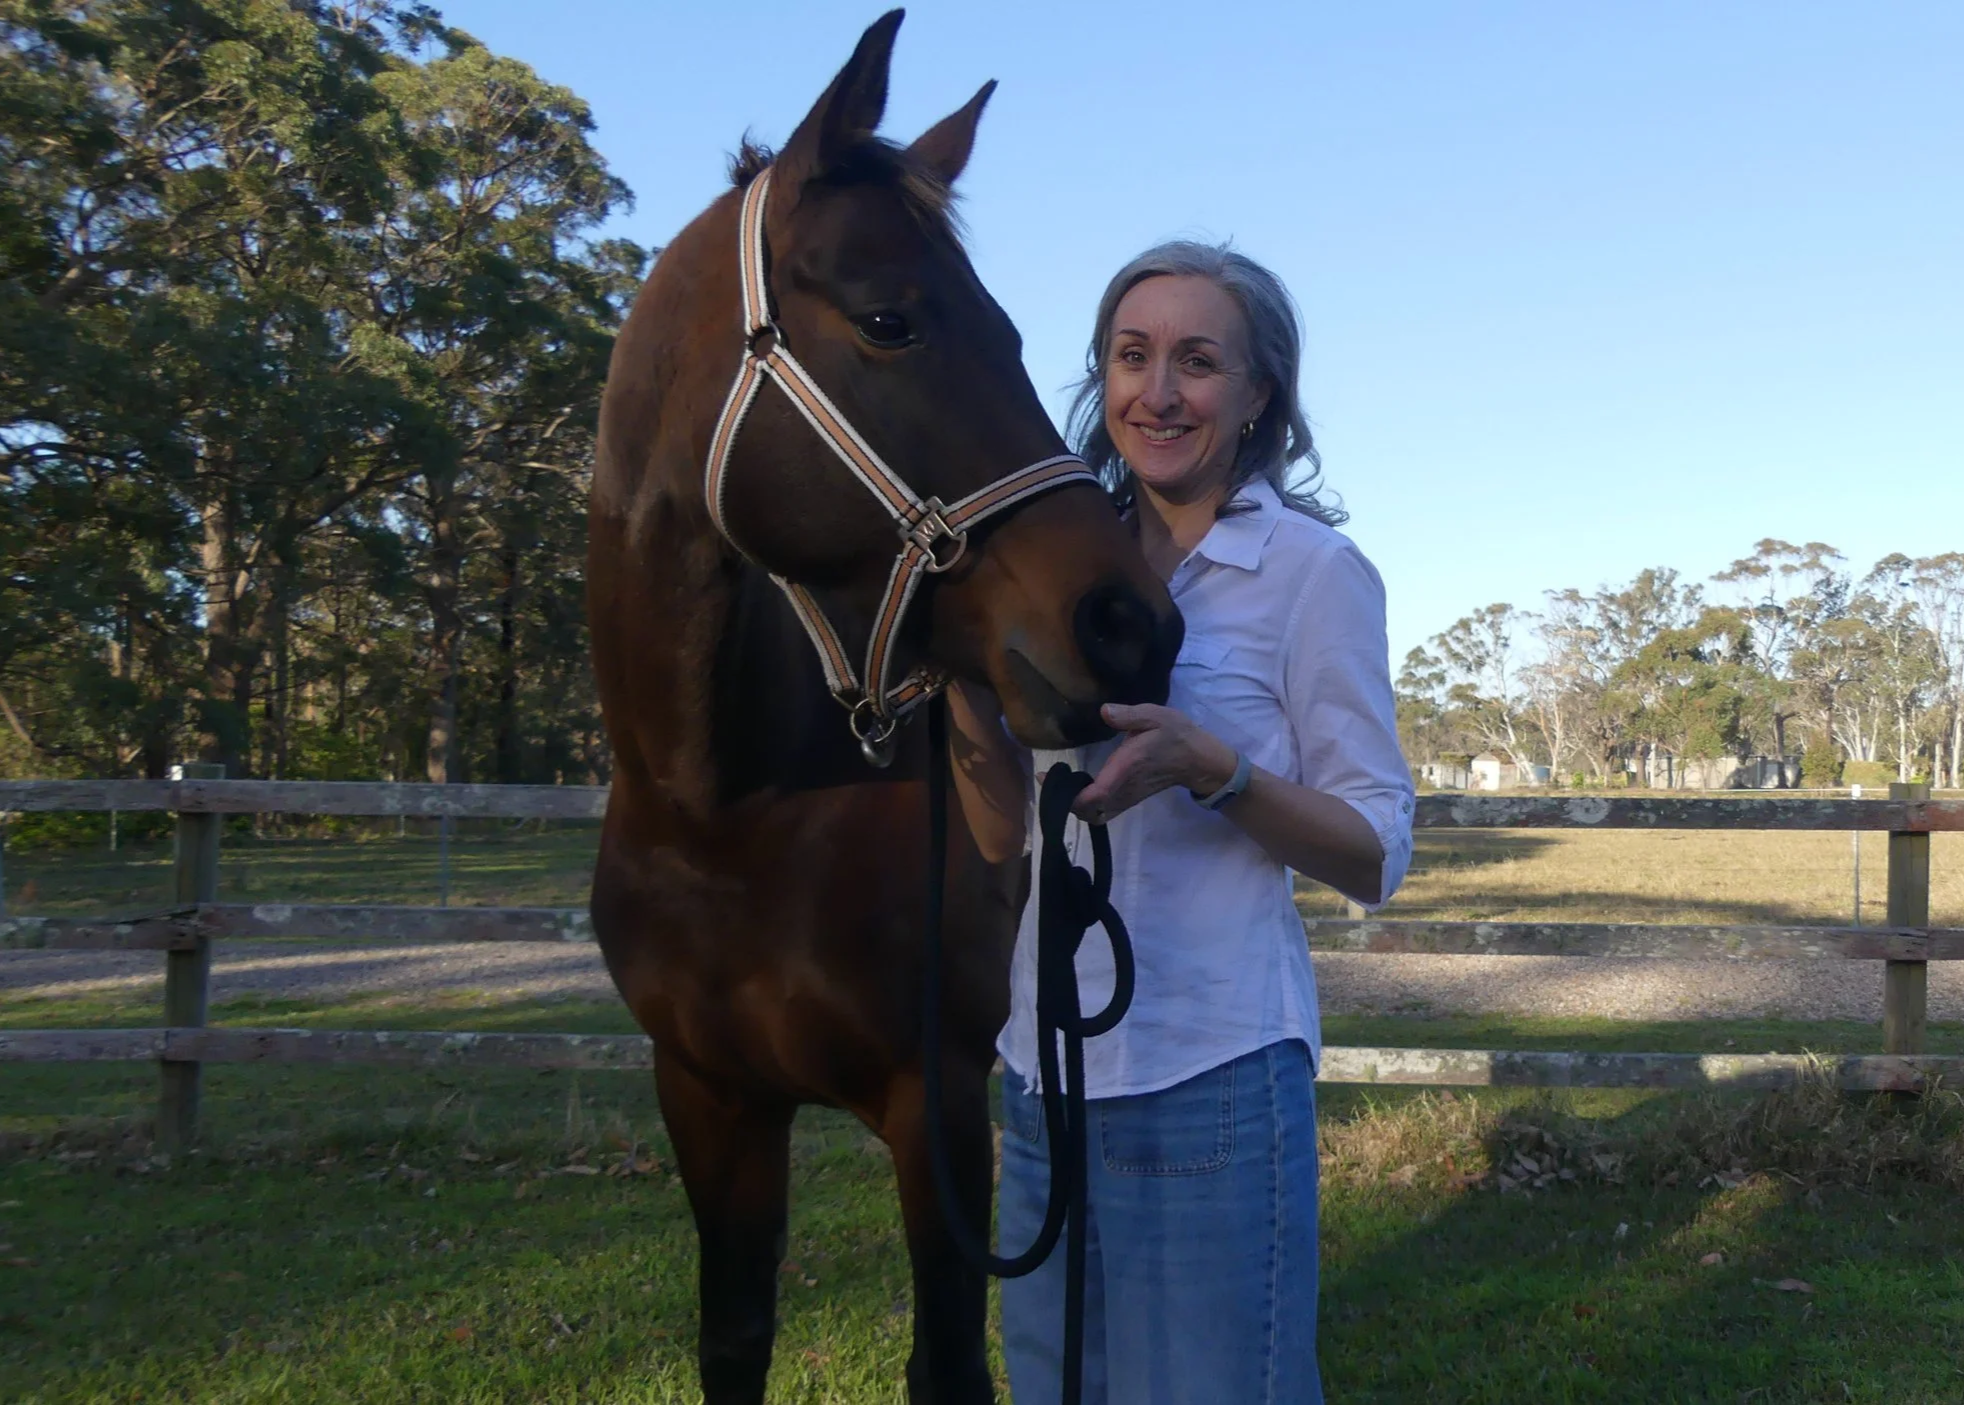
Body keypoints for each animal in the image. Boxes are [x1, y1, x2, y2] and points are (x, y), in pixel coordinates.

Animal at [586, 12, 1180, 1402]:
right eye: (888, 319)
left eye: (1012, 333)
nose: (1128, 624)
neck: (728, 811)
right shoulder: (707, 1099)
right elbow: (733, 1339)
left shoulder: (938, 1098)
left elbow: (946, 1362)